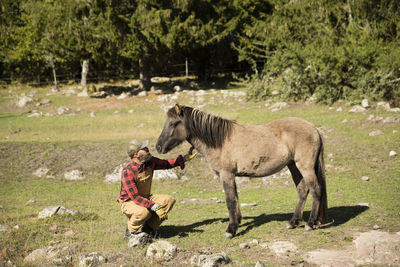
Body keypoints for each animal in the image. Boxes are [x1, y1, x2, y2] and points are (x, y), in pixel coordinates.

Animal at [156, 104, 328, 239]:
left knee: (315, 189)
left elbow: (230, 201)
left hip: (305, 167)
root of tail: (314, 129)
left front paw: (230, 230)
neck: (220, 141)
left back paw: (310, 223)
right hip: (293, 166)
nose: (158, 147)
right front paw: (237, 223)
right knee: (302, 190)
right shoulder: (231, 176)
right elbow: (236, 199)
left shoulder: (226, 174)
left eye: (173, 123)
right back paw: (293, 222)